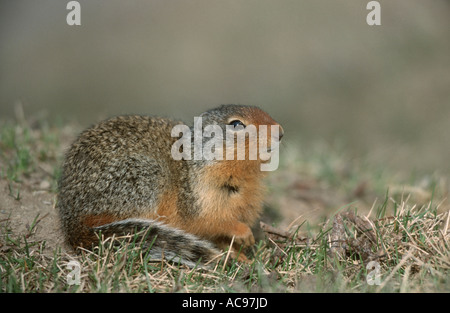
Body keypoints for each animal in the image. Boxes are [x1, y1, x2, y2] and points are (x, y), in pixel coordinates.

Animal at [56, 105, 282, 266]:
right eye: (236, 124)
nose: (280, 132)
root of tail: (71, 220)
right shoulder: (200, 200)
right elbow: (214, 221)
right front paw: (244, 235)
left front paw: (241, 255)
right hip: (143, 179)